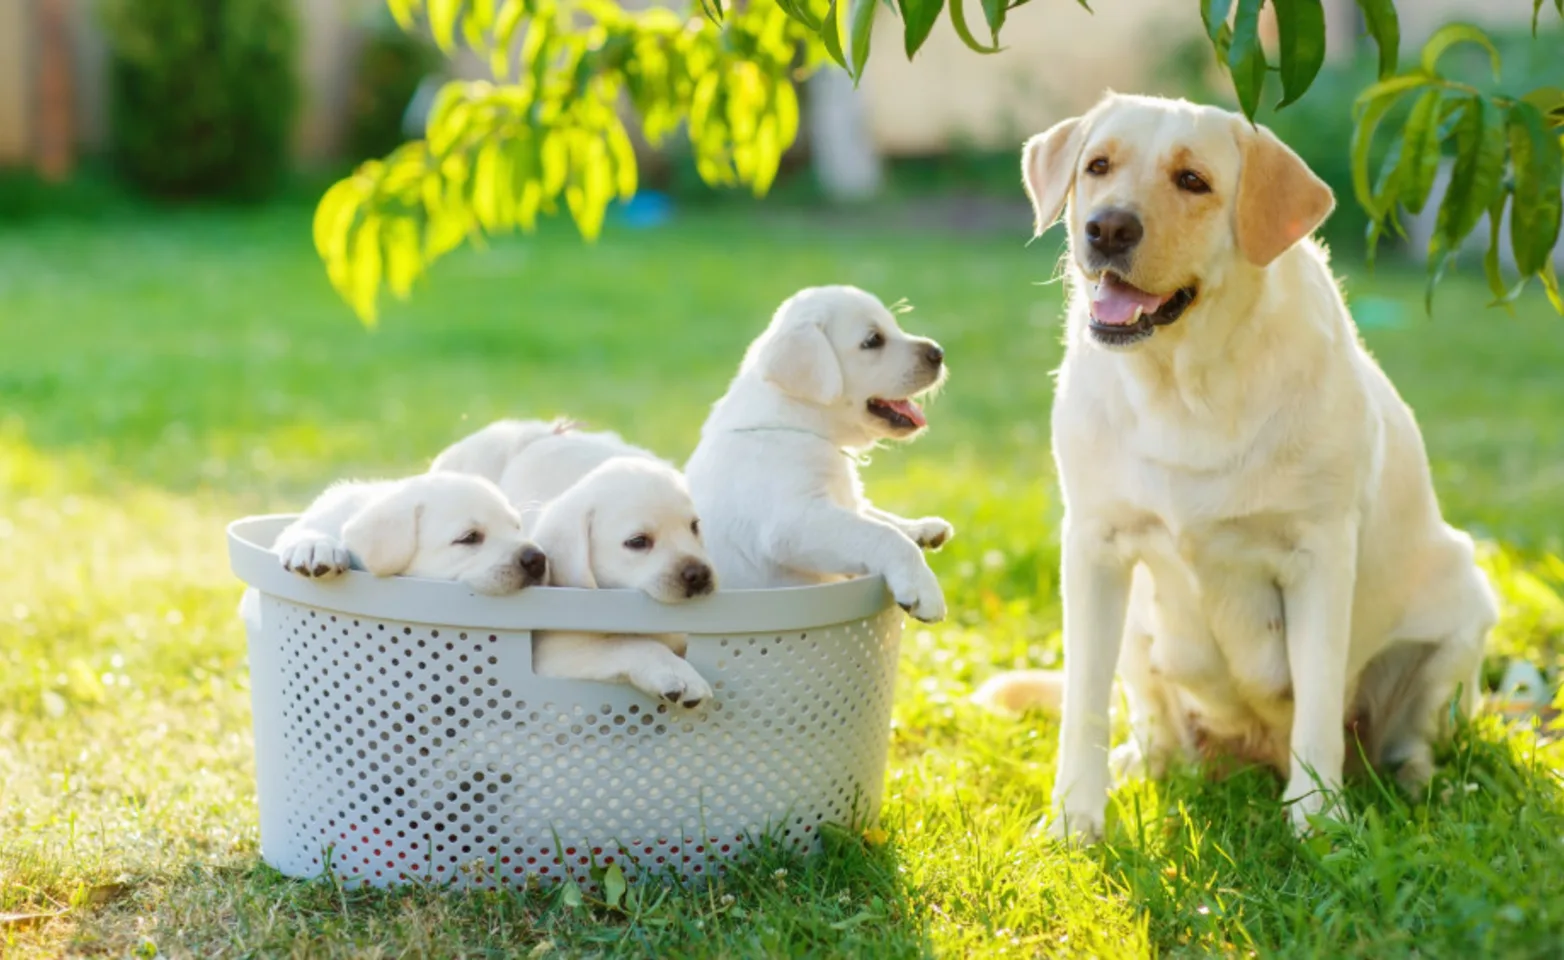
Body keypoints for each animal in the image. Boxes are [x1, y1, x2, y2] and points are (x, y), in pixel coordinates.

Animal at [528, 456, 716, 709]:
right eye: (637, 541)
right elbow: (624, 643)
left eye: (694, 526)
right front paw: (676, 672)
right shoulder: (553, 655)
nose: (700, 575)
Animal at [688, 286, 950, 625]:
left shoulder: (843, 502)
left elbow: (875, 515)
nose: (939, 352)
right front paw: (923, 587)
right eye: (873, 340)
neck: (797, 424)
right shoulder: (794, 521)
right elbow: (881, 534)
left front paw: (920, 527)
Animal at [982, 92, 1495, 844]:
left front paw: (1318, 823)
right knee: (1154, 725)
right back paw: (1144, 762)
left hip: (1462, 615)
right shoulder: (1094, 546)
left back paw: (1420, 789)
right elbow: (1083, 702)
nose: (1108, 227)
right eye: (1098, 166)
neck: (1184, 385)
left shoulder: (1319, 556)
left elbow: (1317, 706)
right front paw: (1076, 820)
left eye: (1193, 181)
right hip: (1136, 627)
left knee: (1411, 739)